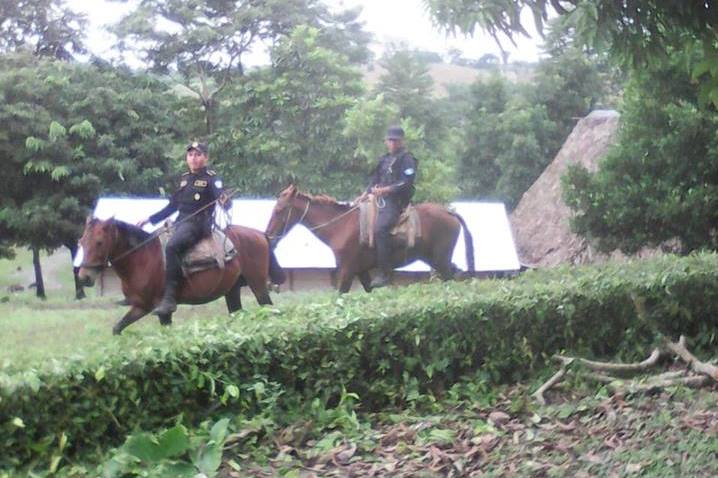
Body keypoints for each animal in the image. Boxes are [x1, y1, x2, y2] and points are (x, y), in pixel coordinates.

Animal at [76, 218, 284, 334]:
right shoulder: (141, 306)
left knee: (270, 310)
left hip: (258, 285)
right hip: (232, 290)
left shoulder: (162, 310)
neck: (143, 258)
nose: (84, 277)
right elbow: (117, 328)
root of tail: (260, 234)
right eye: (81, 241)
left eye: (99, 242)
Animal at [268, 185, 476, 294]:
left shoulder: (347, 270)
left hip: (440, 261)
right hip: (438, 261)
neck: (341, 226)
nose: (269, 237)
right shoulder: (361, 272)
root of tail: (450, 213)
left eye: (279, 210)